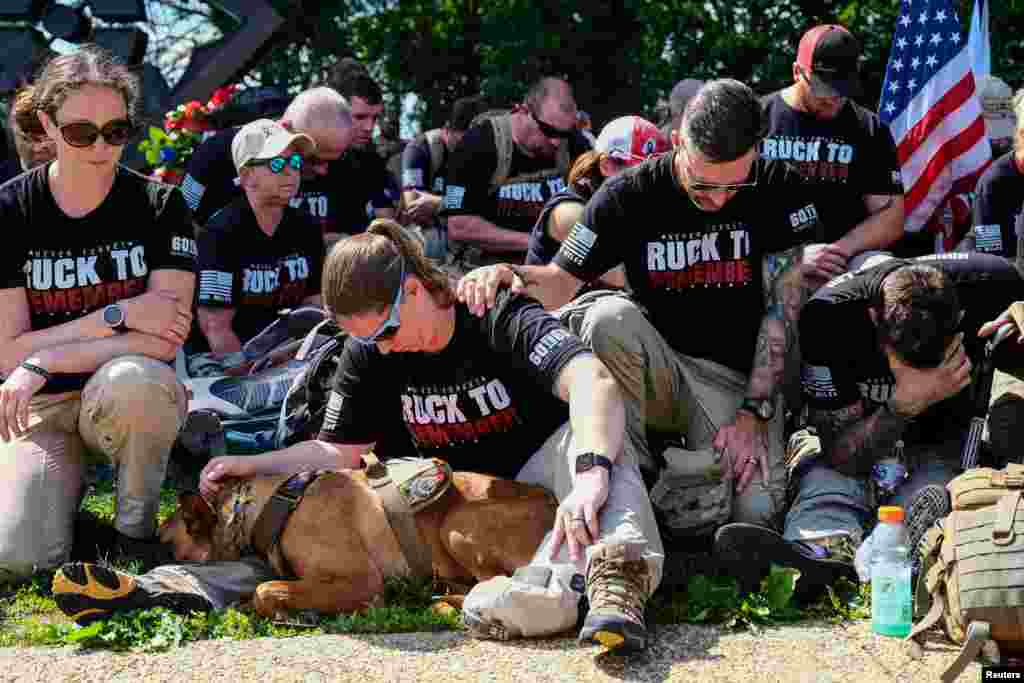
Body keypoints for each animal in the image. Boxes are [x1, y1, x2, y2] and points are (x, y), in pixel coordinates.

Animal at [51, 462, 557, 622]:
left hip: (459, 521)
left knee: (491, 584)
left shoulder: (360, 580)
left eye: (163, 540)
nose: (128, 557)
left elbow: (265, 587)